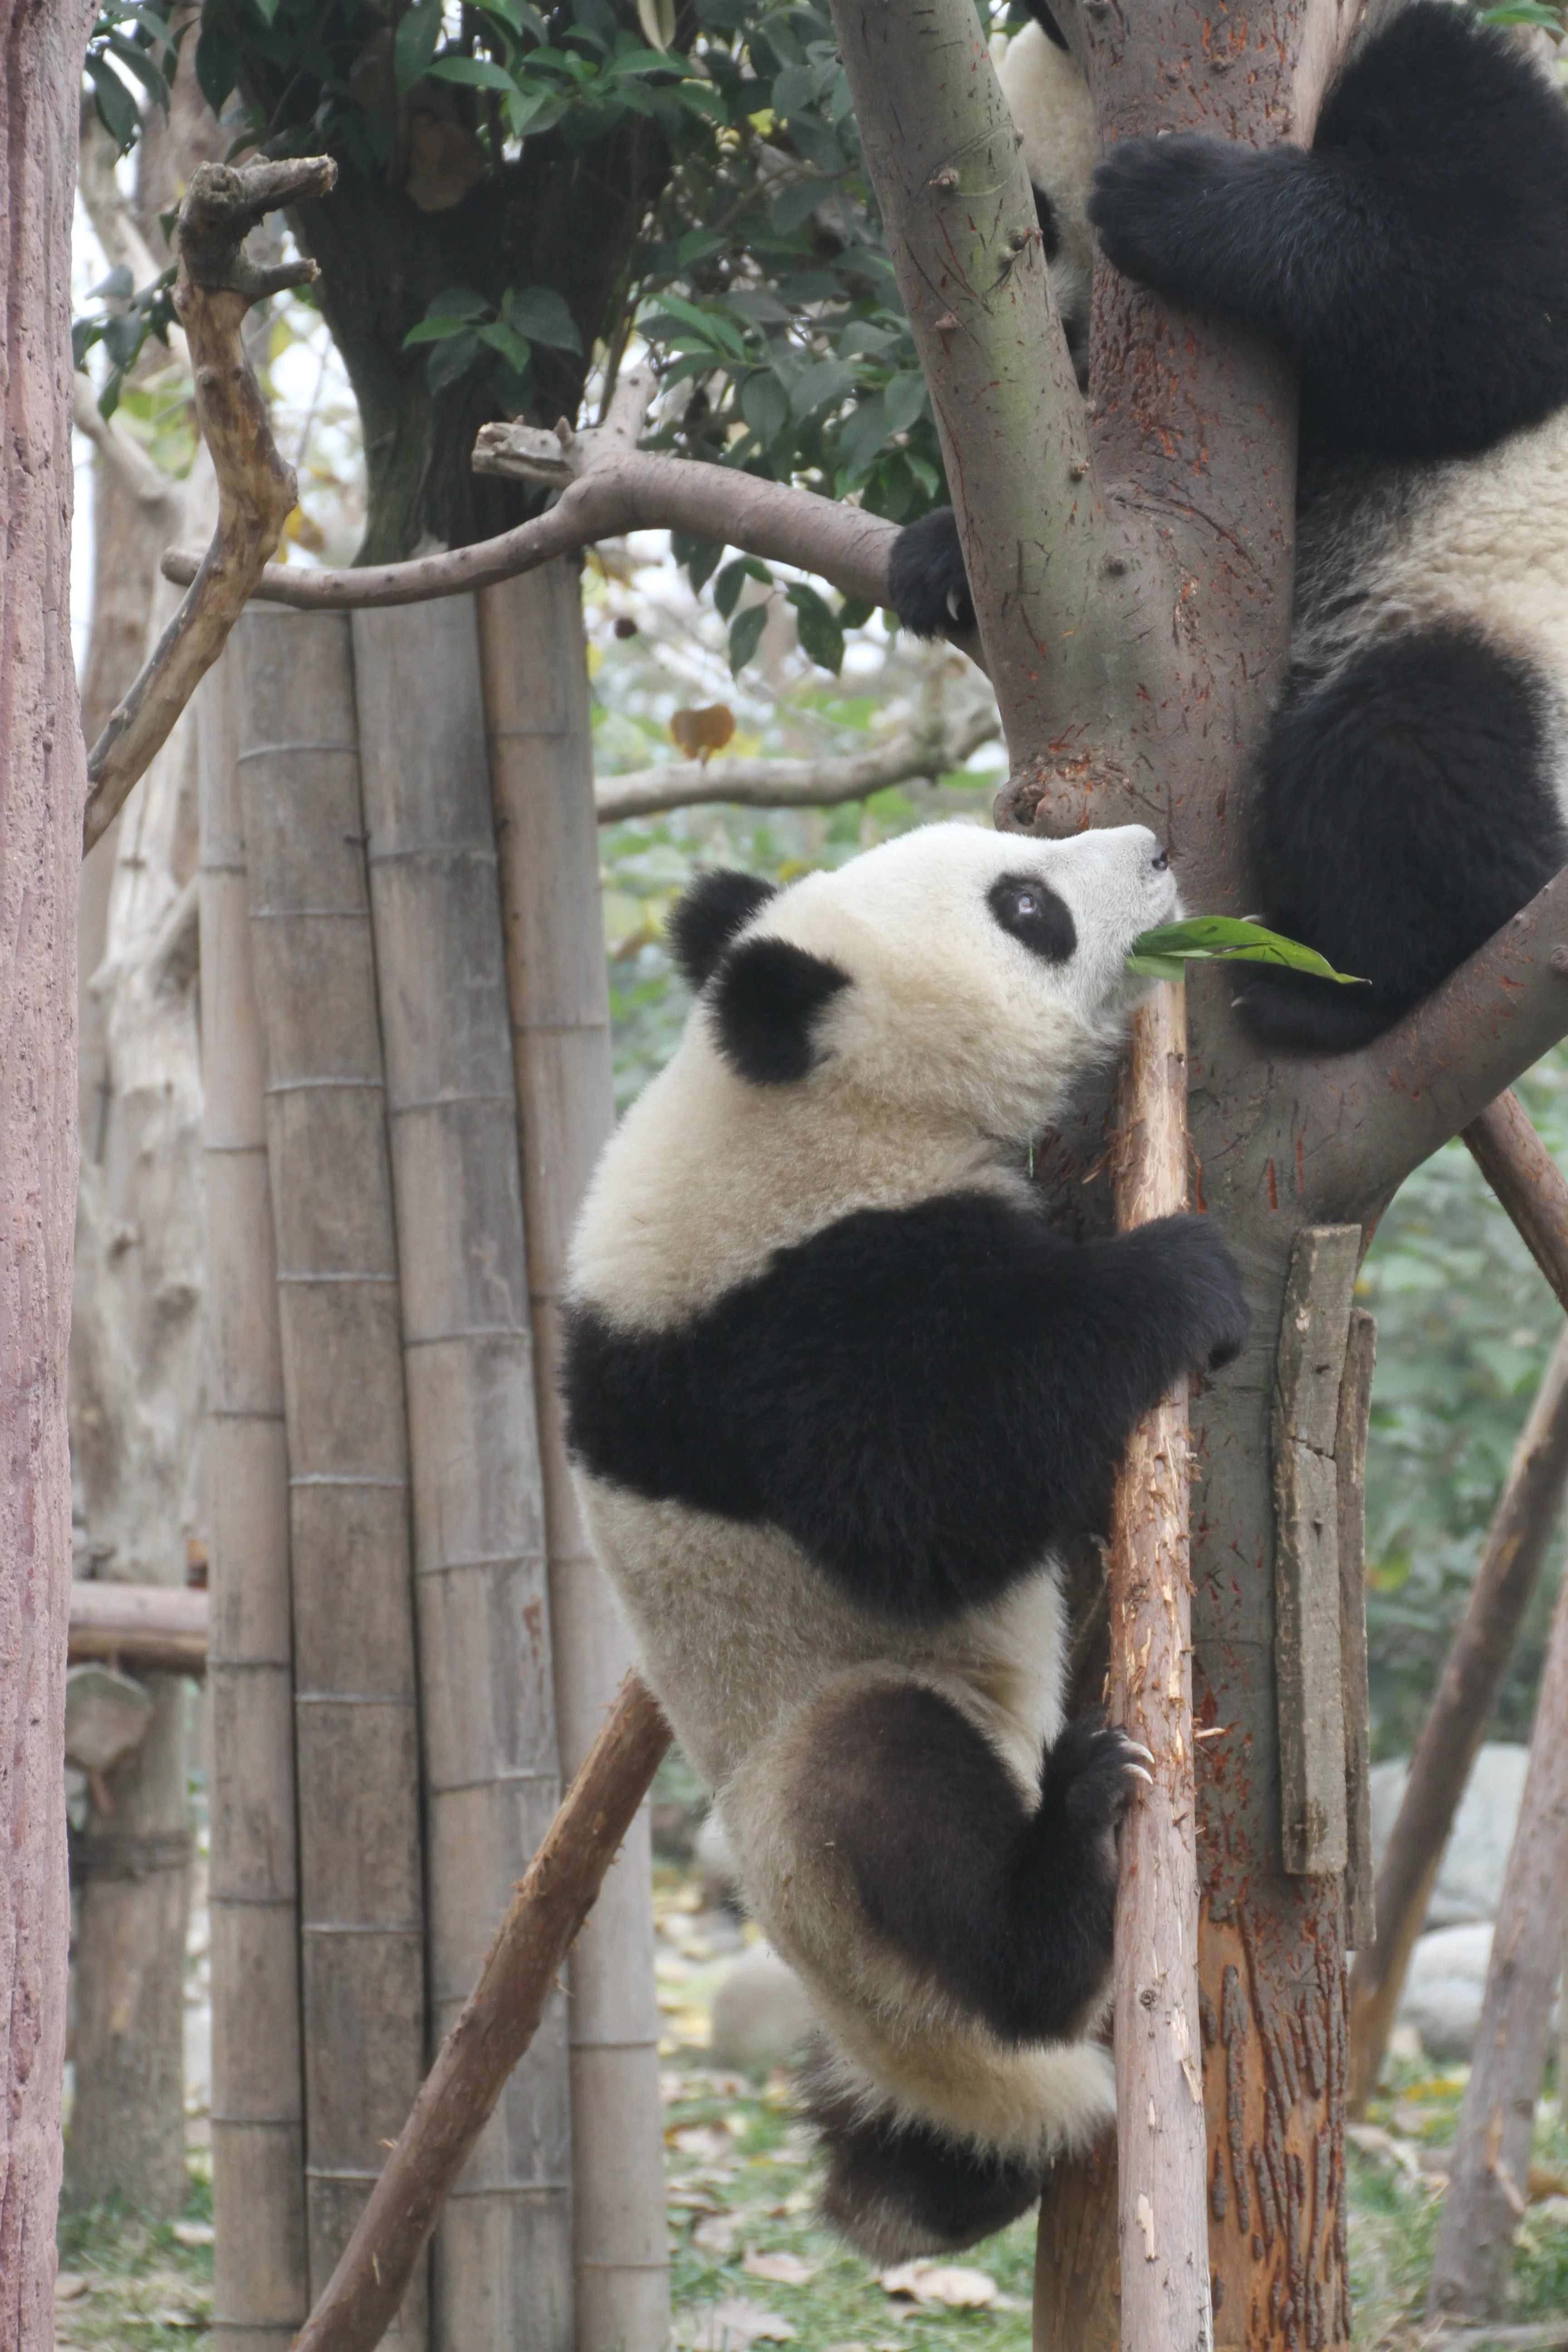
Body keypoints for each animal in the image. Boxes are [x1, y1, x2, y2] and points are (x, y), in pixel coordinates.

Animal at [561, 821, 1249, 2260]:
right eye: (1027, 906)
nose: (1155, 846)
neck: (789, 1101)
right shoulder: (786, 1309)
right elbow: (917, 1498)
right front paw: (1179, 1273)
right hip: (816, 1816)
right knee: (881, 1791)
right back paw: (1068, 1860)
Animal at [890, 3, 1568, 1052]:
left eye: (1037, 219)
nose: (1063, 346)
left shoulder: (1478, 82)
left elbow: (1494, 300)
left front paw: (1174, 196)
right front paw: (936, 559)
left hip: (1499, 629)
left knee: (1405, 755)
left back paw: (1343, 989)